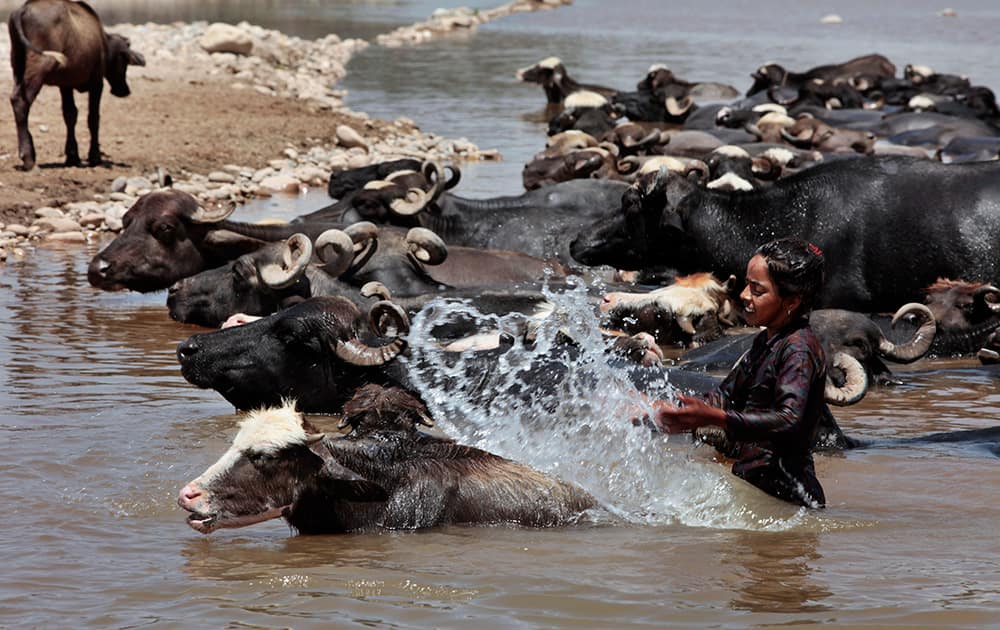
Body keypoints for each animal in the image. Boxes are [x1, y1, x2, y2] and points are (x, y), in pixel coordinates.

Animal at [8, 0, 146, 170]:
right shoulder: (97, 82)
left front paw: (72, 156)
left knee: (16, 100)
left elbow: (70, 114)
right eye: (125, 61)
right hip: (39, 64)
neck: (103, 42)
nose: (124, 90)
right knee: (21, 101)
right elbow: (93, 118)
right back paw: (28, 157)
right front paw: (95, 156)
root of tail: (22, 10)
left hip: (17, 66)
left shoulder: (65, 85)